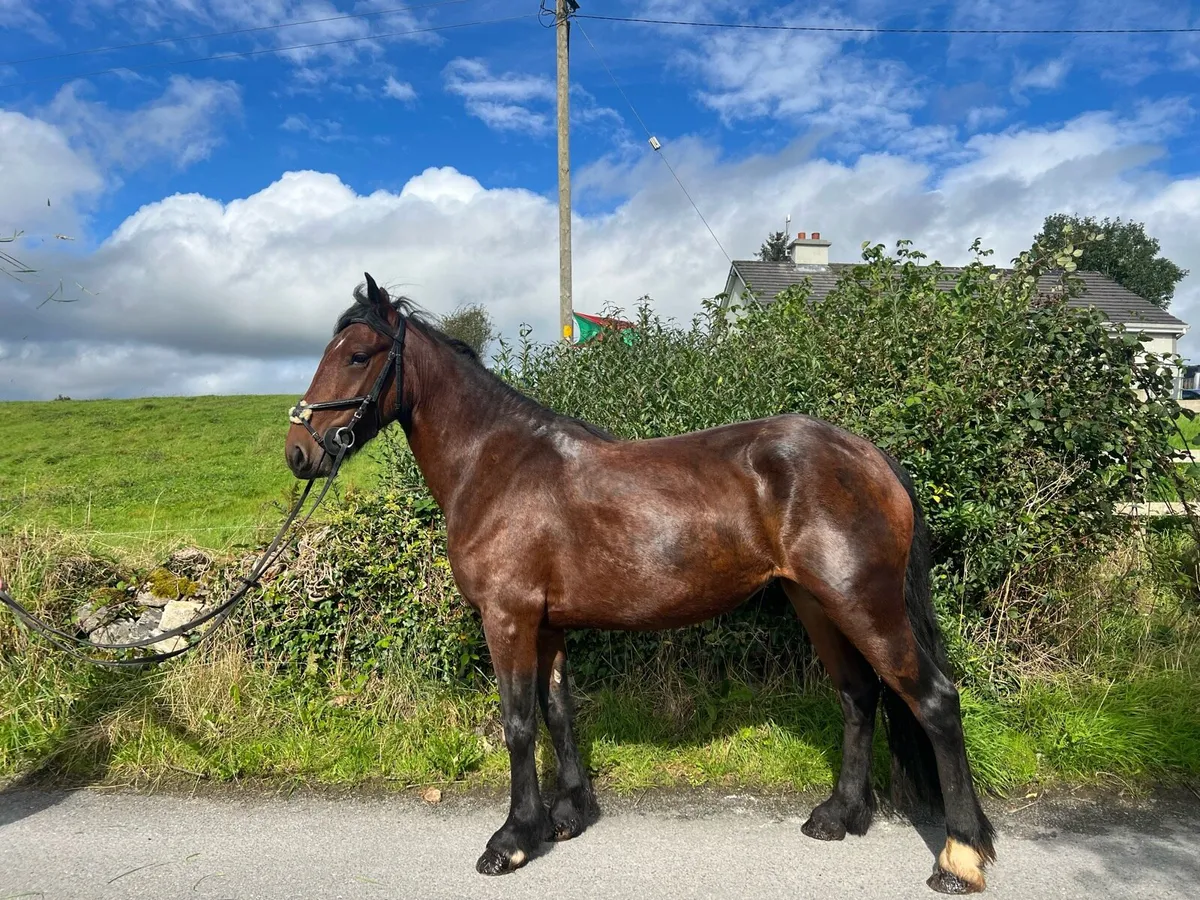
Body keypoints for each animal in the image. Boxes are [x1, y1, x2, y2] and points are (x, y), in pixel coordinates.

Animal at [284, 274, 997, 894]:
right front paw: (567, 817)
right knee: (858, 696)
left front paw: (512, 839)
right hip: (817, 604)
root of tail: (869, 455)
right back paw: (839, 816)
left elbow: (518, 723)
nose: (299, 452)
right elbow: (557, 711)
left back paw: (959, 859)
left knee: (934, 700)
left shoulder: (508, 616)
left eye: (357, 354)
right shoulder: (548, 624)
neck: (497, 465)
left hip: (861, 602)